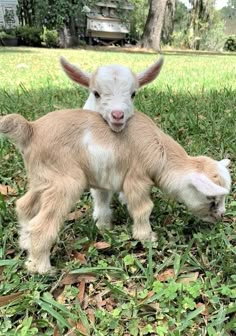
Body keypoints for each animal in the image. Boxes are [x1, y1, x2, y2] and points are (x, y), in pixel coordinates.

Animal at [0, 110, 231, 272]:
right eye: (212, 199)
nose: (221, 216)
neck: (161, 151)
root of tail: (31, 128)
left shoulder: (104, 180)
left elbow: (103, 203)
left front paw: (104, 227)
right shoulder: (137, 180)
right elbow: (143, 209)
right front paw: (146, 237)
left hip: (41, 180)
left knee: (25, 207)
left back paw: (25, 243)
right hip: (65, 182)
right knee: (41, 225)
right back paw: (40, 267)